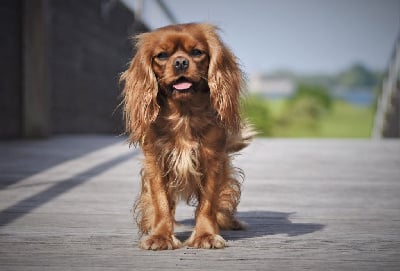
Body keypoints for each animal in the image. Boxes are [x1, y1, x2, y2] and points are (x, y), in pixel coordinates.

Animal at [120, 22, 253, 251]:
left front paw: (206, 235)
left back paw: (231, 222)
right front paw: (160, 236)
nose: (181, 62)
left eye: (197, 52)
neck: (184, 114)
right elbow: (161, 203)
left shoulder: (212, 161)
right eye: (162, 55)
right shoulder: (157, 162)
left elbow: (208, 203)